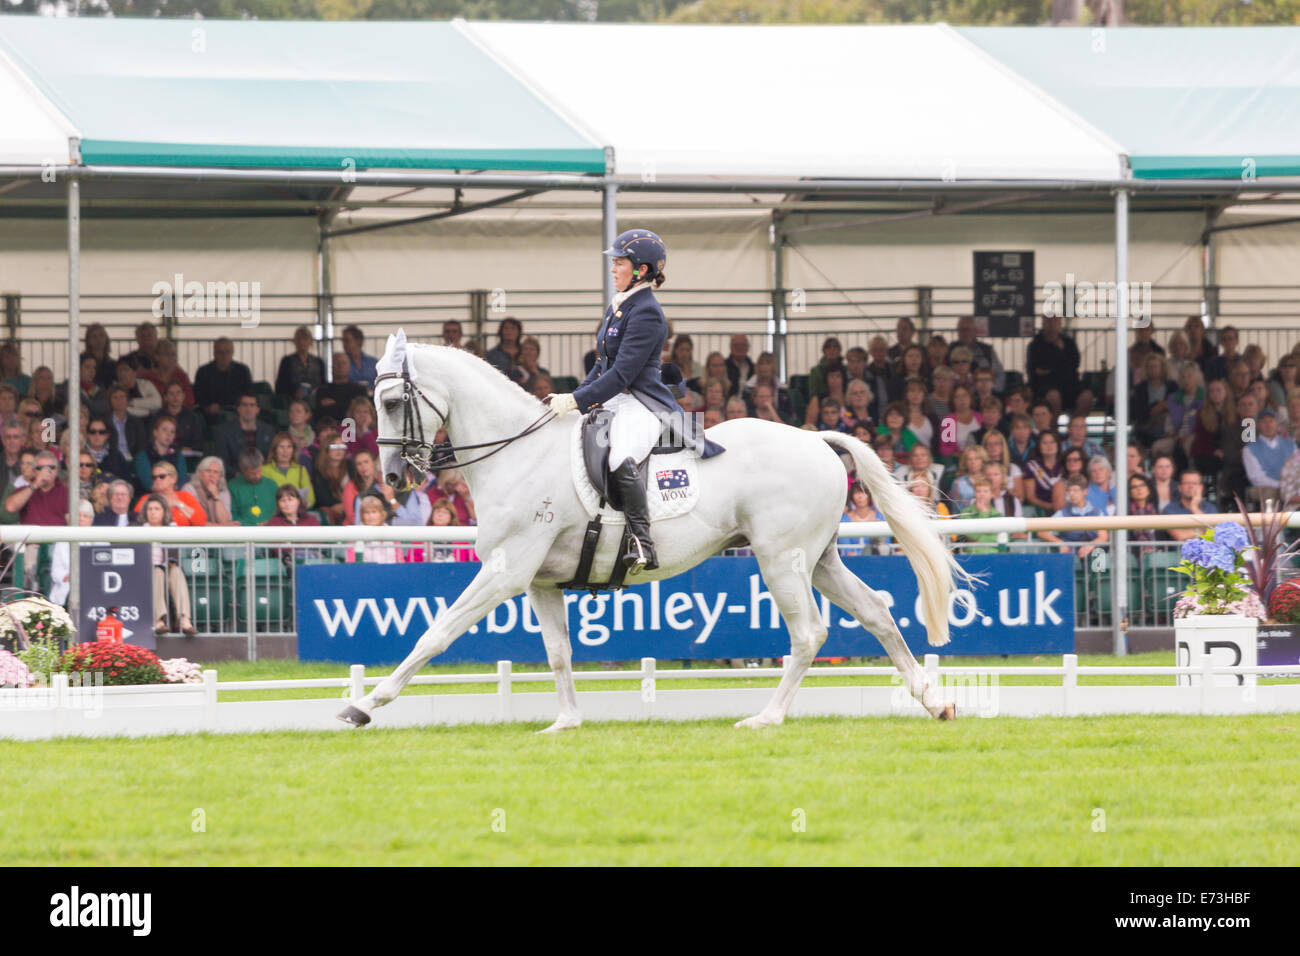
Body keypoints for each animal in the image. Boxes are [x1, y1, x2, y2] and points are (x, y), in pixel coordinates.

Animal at [335, 330, 967, 733]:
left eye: (391, 401)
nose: (394, 477)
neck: (517, 451)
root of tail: (815, 438)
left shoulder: (506, 571)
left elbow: (436, 633)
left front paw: (366, 704)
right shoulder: (538, 581)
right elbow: (558, 652)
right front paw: (566, 722)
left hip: (781, 559)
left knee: (809, 633)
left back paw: (767, 717)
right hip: (819, 558)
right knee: (876, 611)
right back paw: (932, 702)